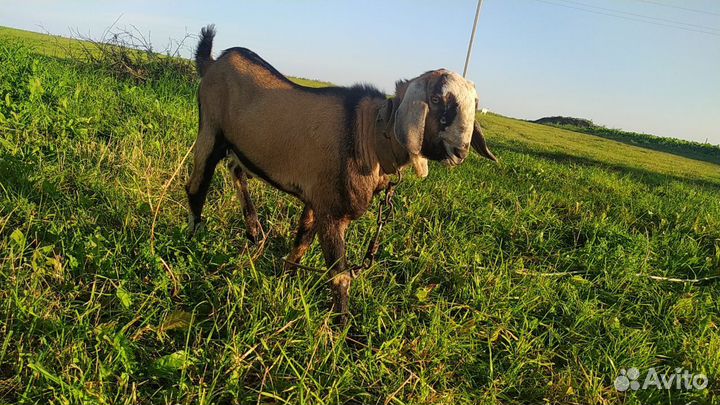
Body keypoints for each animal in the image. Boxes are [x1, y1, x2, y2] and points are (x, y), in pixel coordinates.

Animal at [186, 25, 498, 322]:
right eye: (435, 98)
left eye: (474, 104)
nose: (460, 151)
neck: (368, 134)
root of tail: (215, 61)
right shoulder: (333, 212)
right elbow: (340, 275)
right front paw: (342, 329)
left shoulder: (317, 201)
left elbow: (301, 243)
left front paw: (286, 280)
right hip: (210, 131)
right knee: (196, 187)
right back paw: (192, 241)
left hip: (239, 148)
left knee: (235, 169)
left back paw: (255, 233)